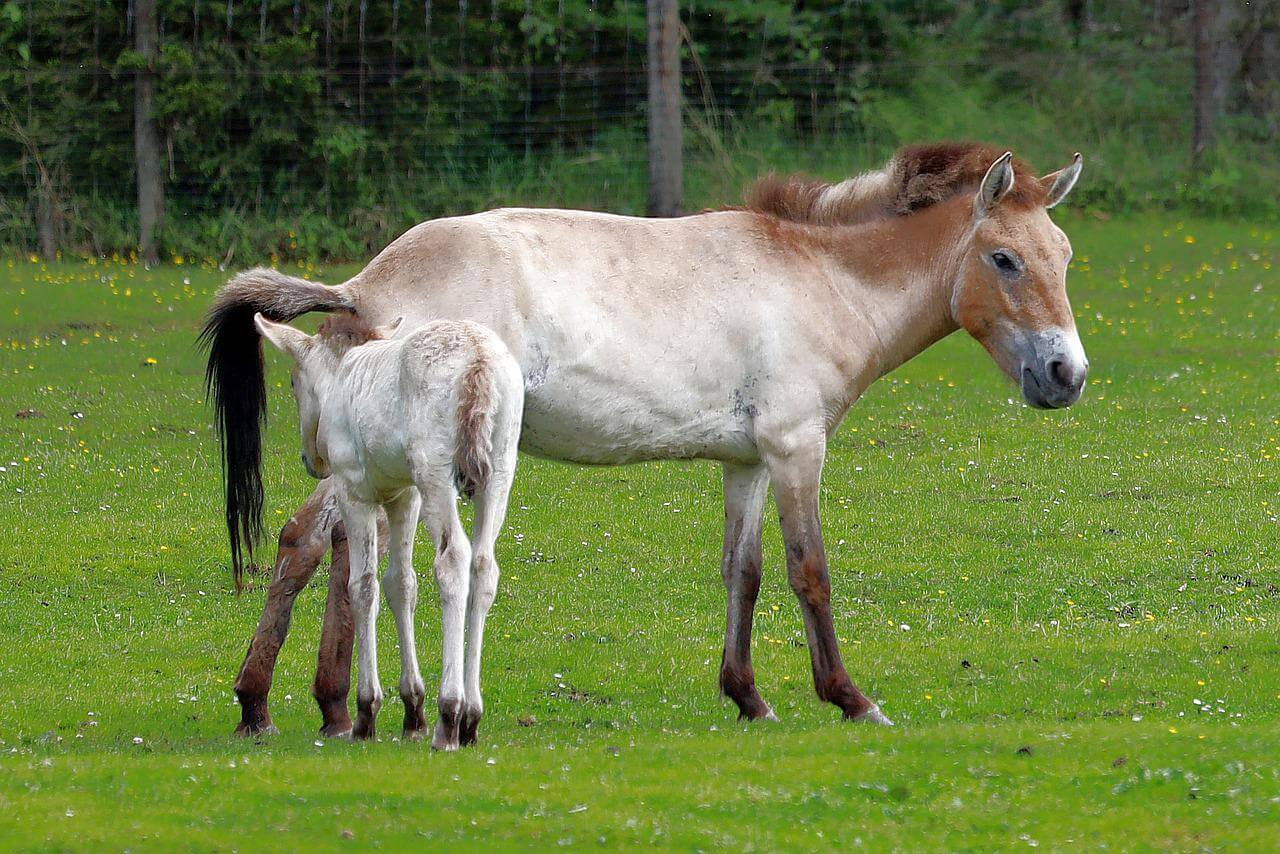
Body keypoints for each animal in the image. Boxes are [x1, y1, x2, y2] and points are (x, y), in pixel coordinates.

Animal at [254, 313, 519, 747]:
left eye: (292, 381)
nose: (312, 459)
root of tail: (478, 362)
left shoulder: (354, 489)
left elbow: (362, 585)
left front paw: (367, 711)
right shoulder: (403, 494)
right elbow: (401, 582)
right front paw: (412, 709)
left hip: (434, 471)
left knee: (453, 559)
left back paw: (450, 714)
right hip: (499, 468)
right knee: (484, 565)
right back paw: (472, 717)